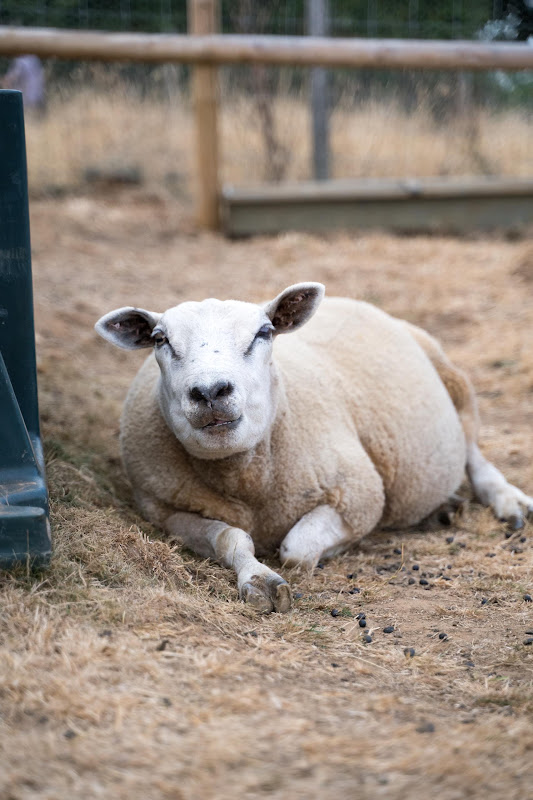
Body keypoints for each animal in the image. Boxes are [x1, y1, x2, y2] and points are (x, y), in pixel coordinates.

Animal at [95, 283, 533, 613]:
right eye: (160, 339)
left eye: (264, 333)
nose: (210, 391)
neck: (247, 485)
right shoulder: (164, 511)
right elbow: (231, 539)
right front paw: (259, 580)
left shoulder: (360, 494)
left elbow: (297, 549)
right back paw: (446, 508)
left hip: (455, 384)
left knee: (474, 453)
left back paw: (506, 499)